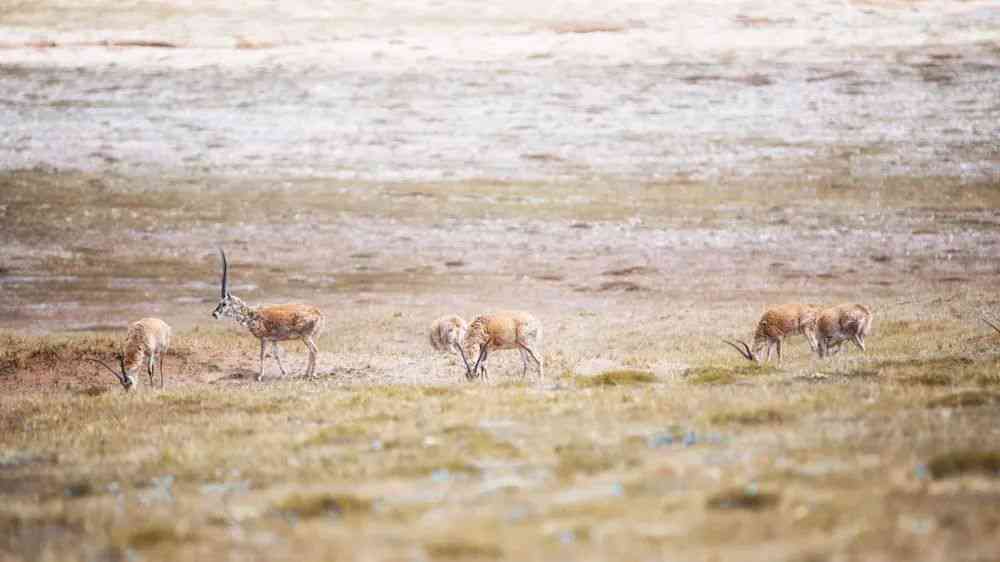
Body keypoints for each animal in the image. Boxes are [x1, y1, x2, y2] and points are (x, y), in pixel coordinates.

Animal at [211, 249, 324, 380]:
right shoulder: (273, 340)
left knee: (314, 350)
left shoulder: (263, 339)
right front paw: (284, 373)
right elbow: (276, 354)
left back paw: (312, 375)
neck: (253, 315)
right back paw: (306, 374)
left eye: (224, 303)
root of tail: (318, 312)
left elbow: (262, 355)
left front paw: (260, 376)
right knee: (311, 352)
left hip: (306, 337)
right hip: (310, 337)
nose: (214, 314)